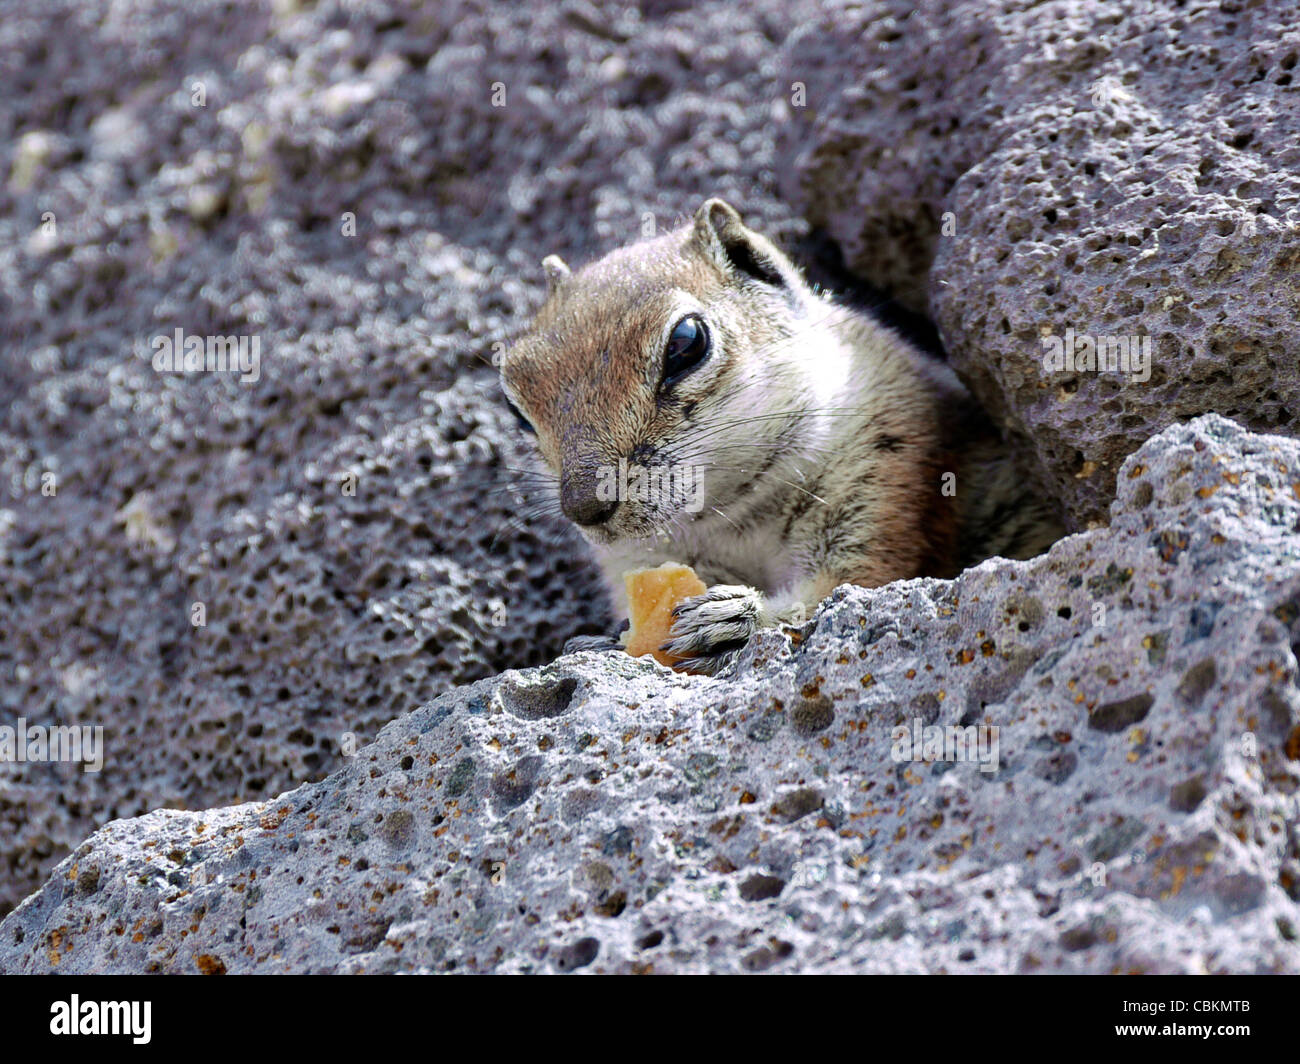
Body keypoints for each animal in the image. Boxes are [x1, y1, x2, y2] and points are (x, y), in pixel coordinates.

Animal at [501, 196, 1060, 671]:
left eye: (686, 343)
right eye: (515, 404)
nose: (584, 509)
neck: (734, 514)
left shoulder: (892, 472)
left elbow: (846, 592)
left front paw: (735, 619)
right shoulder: (636, 559)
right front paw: (593, 641)